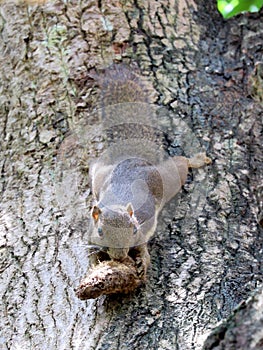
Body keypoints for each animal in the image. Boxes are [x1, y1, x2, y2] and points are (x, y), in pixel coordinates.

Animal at [88, 64, 212, 278]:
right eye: (100, 232)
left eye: (134, 230)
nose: (120, 256)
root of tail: (133, 158)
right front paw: (96, 262)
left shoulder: (144, 228)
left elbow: (143, 246)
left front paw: (143, 261)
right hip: (100, 176)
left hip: (170, 177)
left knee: (182, 163)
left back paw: (196, 160)